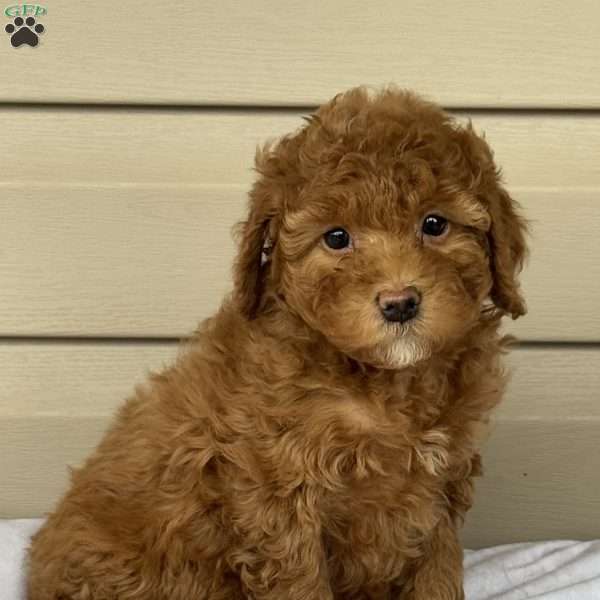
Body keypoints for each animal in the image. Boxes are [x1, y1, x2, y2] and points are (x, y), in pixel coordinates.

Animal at [27, 88, 524, 600]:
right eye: (336, 237)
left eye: (435, 224)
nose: (399, 303)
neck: (384, 383)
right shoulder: (279, 495)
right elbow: (300, 581)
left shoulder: (440, 486)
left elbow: (438, 569)